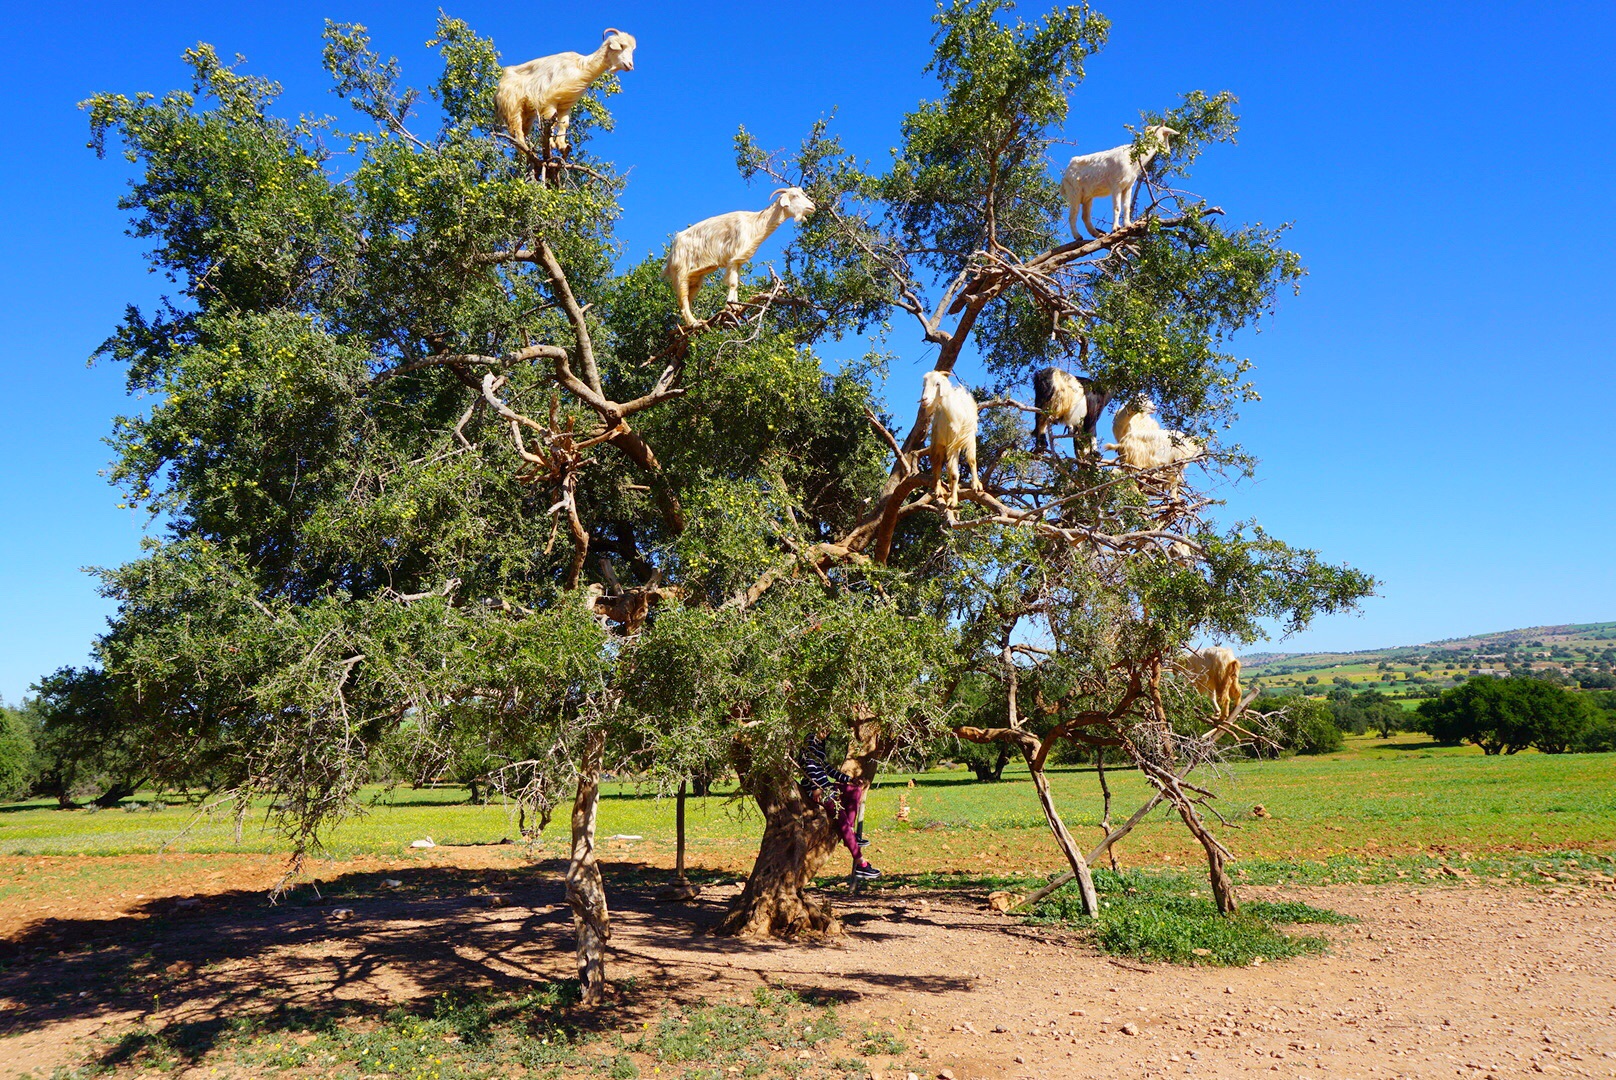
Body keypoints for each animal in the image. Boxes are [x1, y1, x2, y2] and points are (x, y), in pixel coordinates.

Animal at [497, 30, 636, 175]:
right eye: (621, 45)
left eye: (632, 49)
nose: (630, 65)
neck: (581, 66)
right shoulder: (549, 100)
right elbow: (550, 123)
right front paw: (551, 144)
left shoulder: (565, 104)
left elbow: (564, 124)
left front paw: (562, 145)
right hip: (512, 105)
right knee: (516, 130)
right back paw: (527, 150)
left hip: (528, 113)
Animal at [659, 185, 814, 324]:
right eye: (794, 196)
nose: (812, 207)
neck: (755, 224)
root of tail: (674, 247)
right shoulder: (733, 258)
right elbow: (733, 283)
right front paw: (729, 307)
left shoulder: (739, 261)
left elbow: (737, 283)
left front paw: (736, 307)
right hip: (681, 271)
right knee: (683, 298)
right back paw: (693, 323)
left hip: (696, 276)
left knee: (688, 298)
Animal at [924, 368, 982, 507]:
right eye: (924, 384)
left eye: (937, 384)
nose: (924, 400)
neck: (959, 414)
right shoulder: (951, 443)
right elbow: (954, 473)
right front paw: (952, 500)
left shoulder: (969, 438)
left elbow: (972, 460)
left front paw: (976, 485)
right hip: (938, 442)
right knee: (937, 463)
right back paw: (938, 489)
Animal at [1053, 124, 1182, 240]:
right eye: (1165, 135)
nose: (1168, 151)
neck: (1133, 159)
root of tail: (1065, 175)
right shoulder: (1116, 185)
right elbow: (1117, 207)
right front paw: (1115, 228)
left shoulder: (1128, 186)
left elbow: (1126, 206)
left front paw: (1128, 225)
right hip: (1074, 192)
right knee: (1073, 216)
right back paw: (1078, 236)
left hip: (1088, 196)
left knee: (1085, 217)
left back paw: (1098, 234)